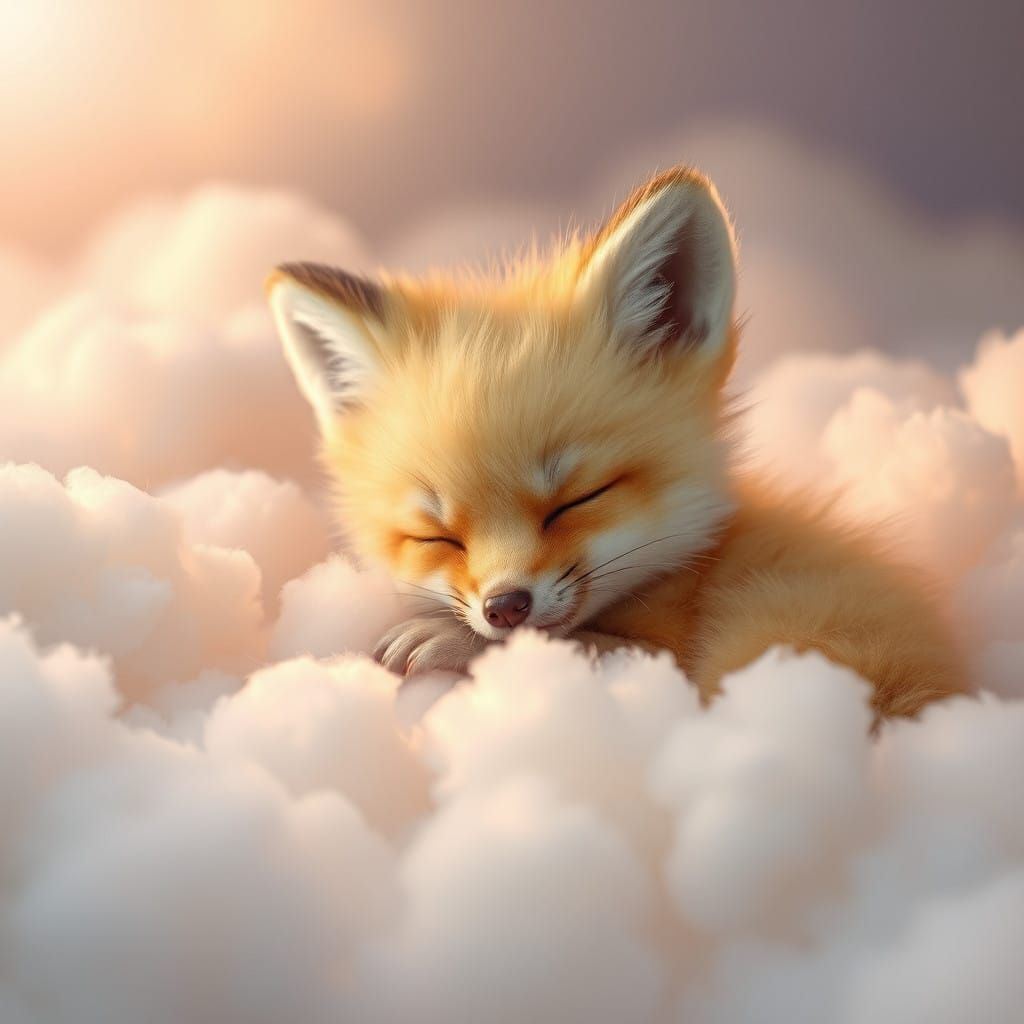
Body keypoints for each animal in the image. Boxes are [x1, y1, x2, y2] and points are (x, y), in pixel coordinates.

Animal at [266, 167, 967, 720]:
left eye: (577, 500)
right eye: (436, 537)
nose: (505, 607)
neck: (697, 576)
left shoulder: (664, 655)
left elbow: (579, 645)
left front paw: (450, 642)